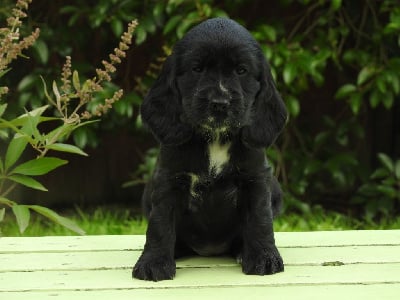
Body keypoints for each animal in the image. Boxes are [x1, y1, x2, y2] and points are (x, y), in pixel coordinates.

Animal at [133, 18, 286, 282]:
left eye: (241, 70)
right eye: (197, 69)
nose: (220, 103)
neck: (214, 137)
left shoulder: (255, 179)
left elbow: (260, 220)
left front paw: (264, 258)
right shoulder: (168, 180)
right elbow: (160, 224)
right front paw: (154, 262)